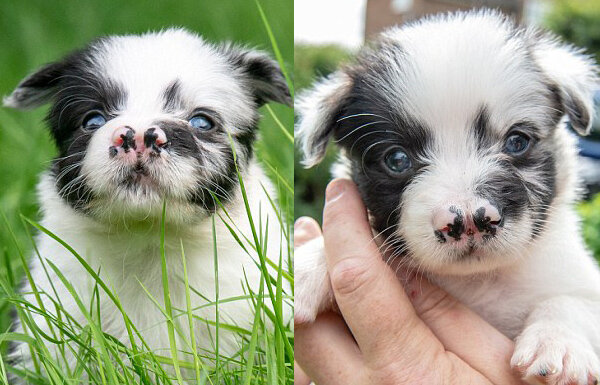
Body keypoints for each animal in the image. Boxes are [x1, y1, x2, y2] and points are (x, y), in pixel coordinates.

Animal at [296, 9, 600, 384]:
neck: (478, 281)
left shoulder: (579, 277)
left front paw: (558, 343)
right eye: (397, 160)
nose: (469, 221)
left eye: (517, 141)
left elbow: (574, 302)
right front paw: (306, 265)